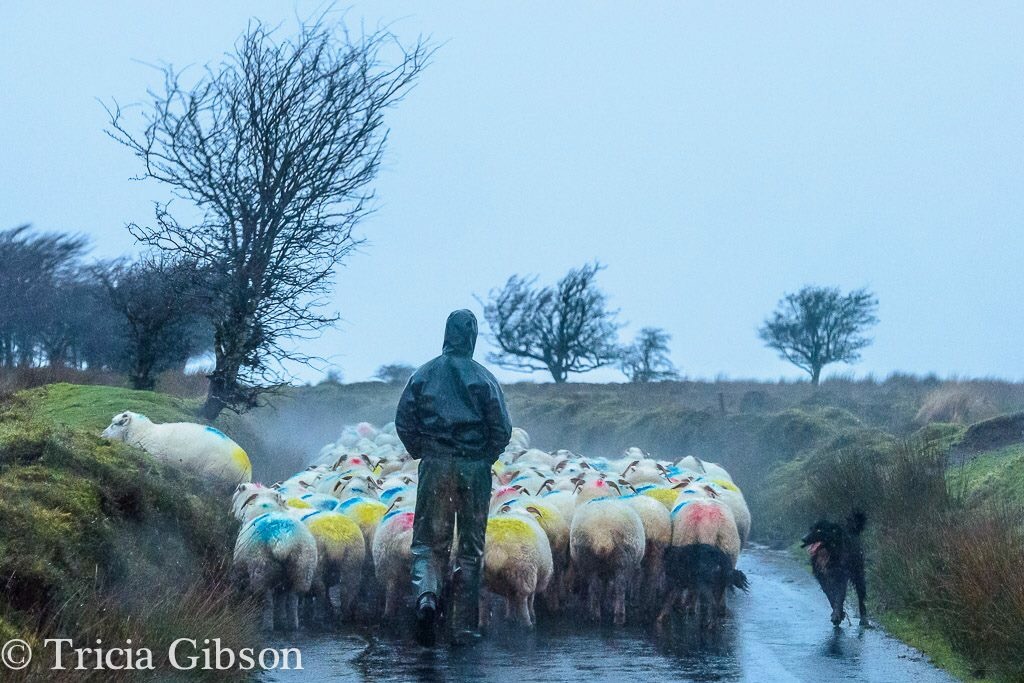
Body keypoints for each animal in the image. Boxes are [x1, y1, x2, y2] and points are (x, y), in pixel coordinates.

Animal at [103, 411, 252, 485]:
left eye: (114, 424)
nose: (102, 434)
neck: (144, 432)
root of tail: (248, 471)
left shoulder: (153, 455)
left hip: (213, 474)